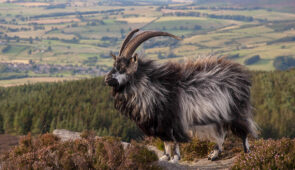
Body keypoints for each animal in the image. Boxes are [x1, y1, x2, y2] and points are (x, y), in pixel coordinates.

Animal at [105, 28, 258, 163]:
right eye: (114, 65)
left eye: (123, 68)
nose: (107, 79)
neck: (151, 87)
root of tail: (242, 76)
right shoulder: (160, 123)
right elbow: (166, 141)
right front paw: (165, 157)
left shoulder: (172, 120)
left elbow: (174, 140)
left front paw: (175, 158)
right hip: (218, 115)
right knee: (221, 133)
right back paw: (214, 155)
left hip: (235, 110)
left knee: (243, 131)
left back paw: (246, 153)